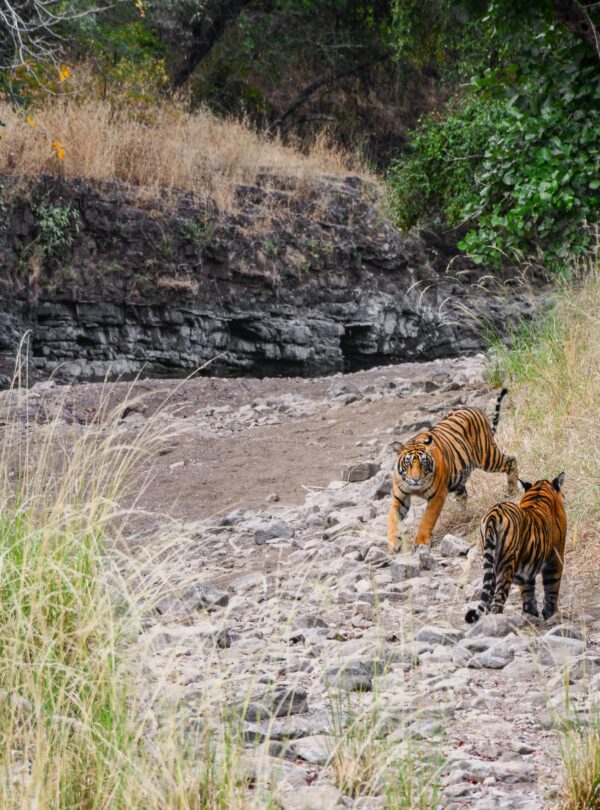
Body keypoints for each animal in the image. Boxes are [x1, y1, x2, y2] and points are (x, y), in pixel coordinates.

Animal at [386, 386, 516, 548]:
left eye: (423, 463)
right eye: (408, 463)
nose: (416, 480)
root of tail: (473, 408)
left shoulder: (437, 496)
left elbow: (427, 519)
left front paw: (421, 540)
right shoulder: (400, 497)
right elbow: (393, 519)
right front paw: (393, 543)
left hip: (488, 457)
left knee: (511, 460)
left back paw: (512, 491)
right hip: (459, 477)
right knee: (463, 495)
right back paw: (463, 516)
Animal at [464, 470, 568, 620]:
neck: (540, 489)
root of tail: (493, 514)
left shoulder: (528, 564)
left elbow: (527, 592)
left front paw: (531, 614)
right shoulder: (556, 557)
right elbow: (552, 587)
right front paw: (552, 614)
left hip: (490, 564)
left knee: (488, 598)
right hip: (506, 566)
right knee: (497, 601)